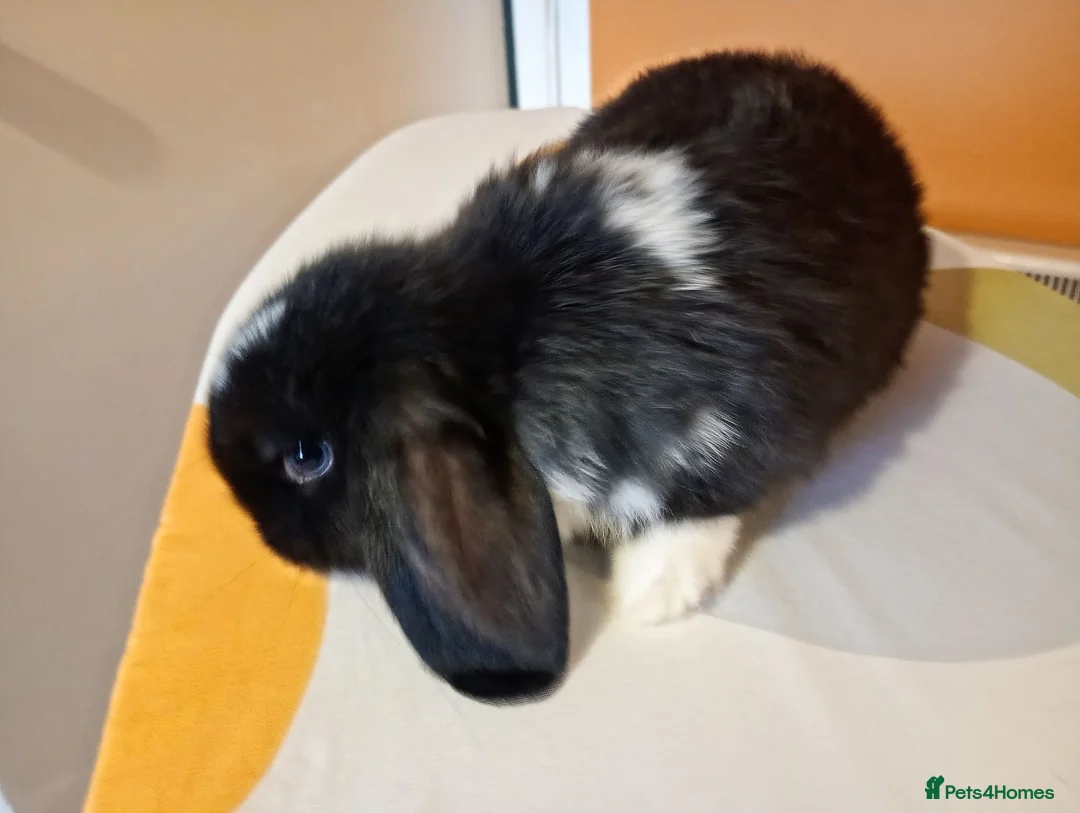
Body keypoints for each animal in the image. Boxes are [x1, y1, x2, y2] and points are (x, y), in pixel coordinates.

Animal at [207, 51, 928, 702]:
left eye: (307, 457)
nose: (264, 535)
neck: (501, 330)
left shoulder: (734, 438)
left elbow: (698, 514)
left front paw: (650, 594)